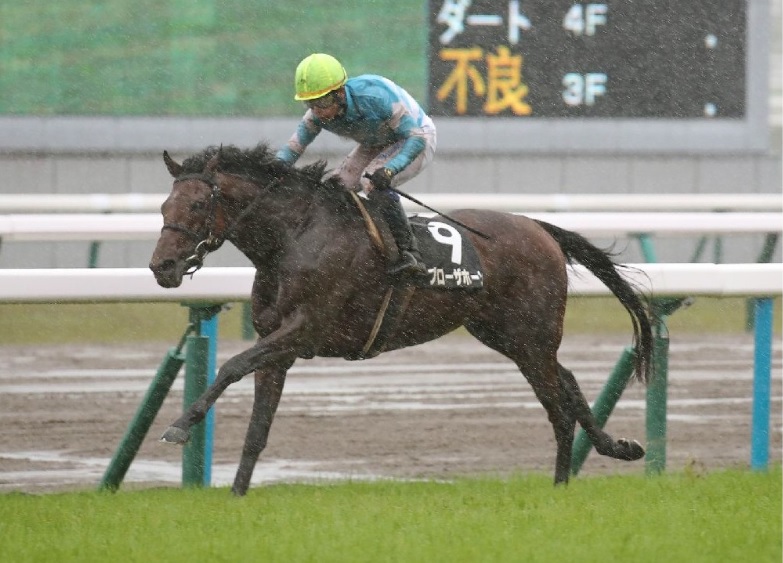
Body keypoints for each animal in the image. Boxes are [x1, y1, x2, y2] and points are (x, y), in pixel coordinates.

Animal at [149, 143, 654, 496]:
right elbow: (258, 429)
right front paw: (236, 495)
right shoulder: (277, 346)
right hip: (509, 335)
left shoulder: (302, 330)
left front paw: (179, 426)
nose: (161, 267)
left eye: (197, 206)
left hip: (530, 336)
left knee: (557, 406)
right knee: (567, 380)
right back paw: (616, 448)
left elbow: (232, 365)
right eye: (163, 208)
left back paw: (560, 486)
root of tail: (539, 227)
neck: (295, 238)